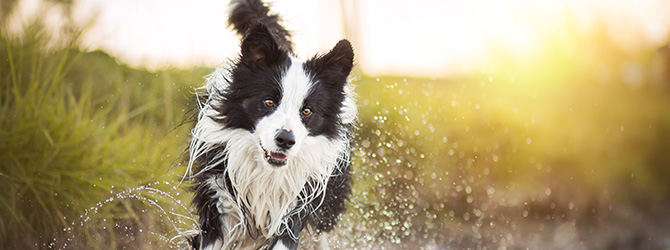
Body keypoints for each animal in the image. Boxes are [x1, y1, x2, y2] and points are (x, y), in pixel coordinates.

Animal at [186, 0, 360, 248]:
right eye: (268, 102)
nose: (285, 140)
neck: (267, 173)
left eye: (307, 111)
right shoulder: (218, 197)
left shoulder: (297, 203)